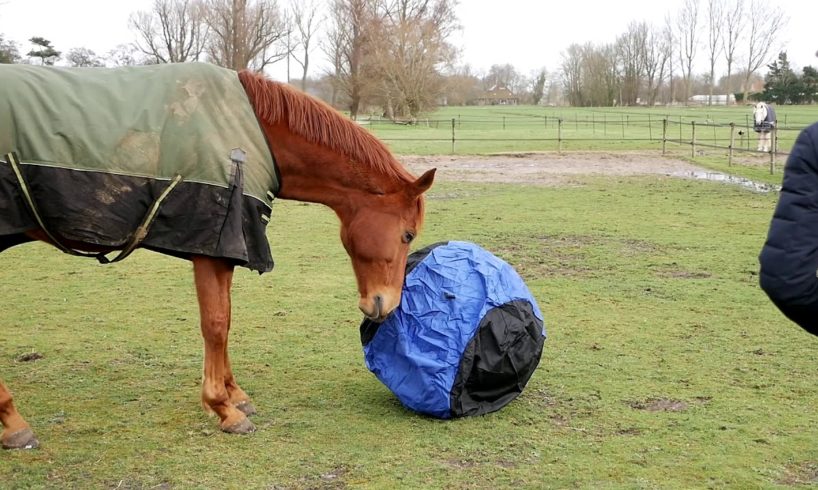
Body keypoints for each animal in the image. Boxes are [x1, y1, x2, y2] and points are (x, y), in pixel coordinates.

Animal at [0, 61, 434, 448]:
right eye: (407, 234)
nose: (384, 305)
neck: (254, 135)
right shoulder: (212, 248)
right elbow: (216, 323)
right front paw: (223, 408)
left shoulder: (224, 252)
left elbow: (226, 319)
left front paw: (235, 395)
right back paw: (14, 422)